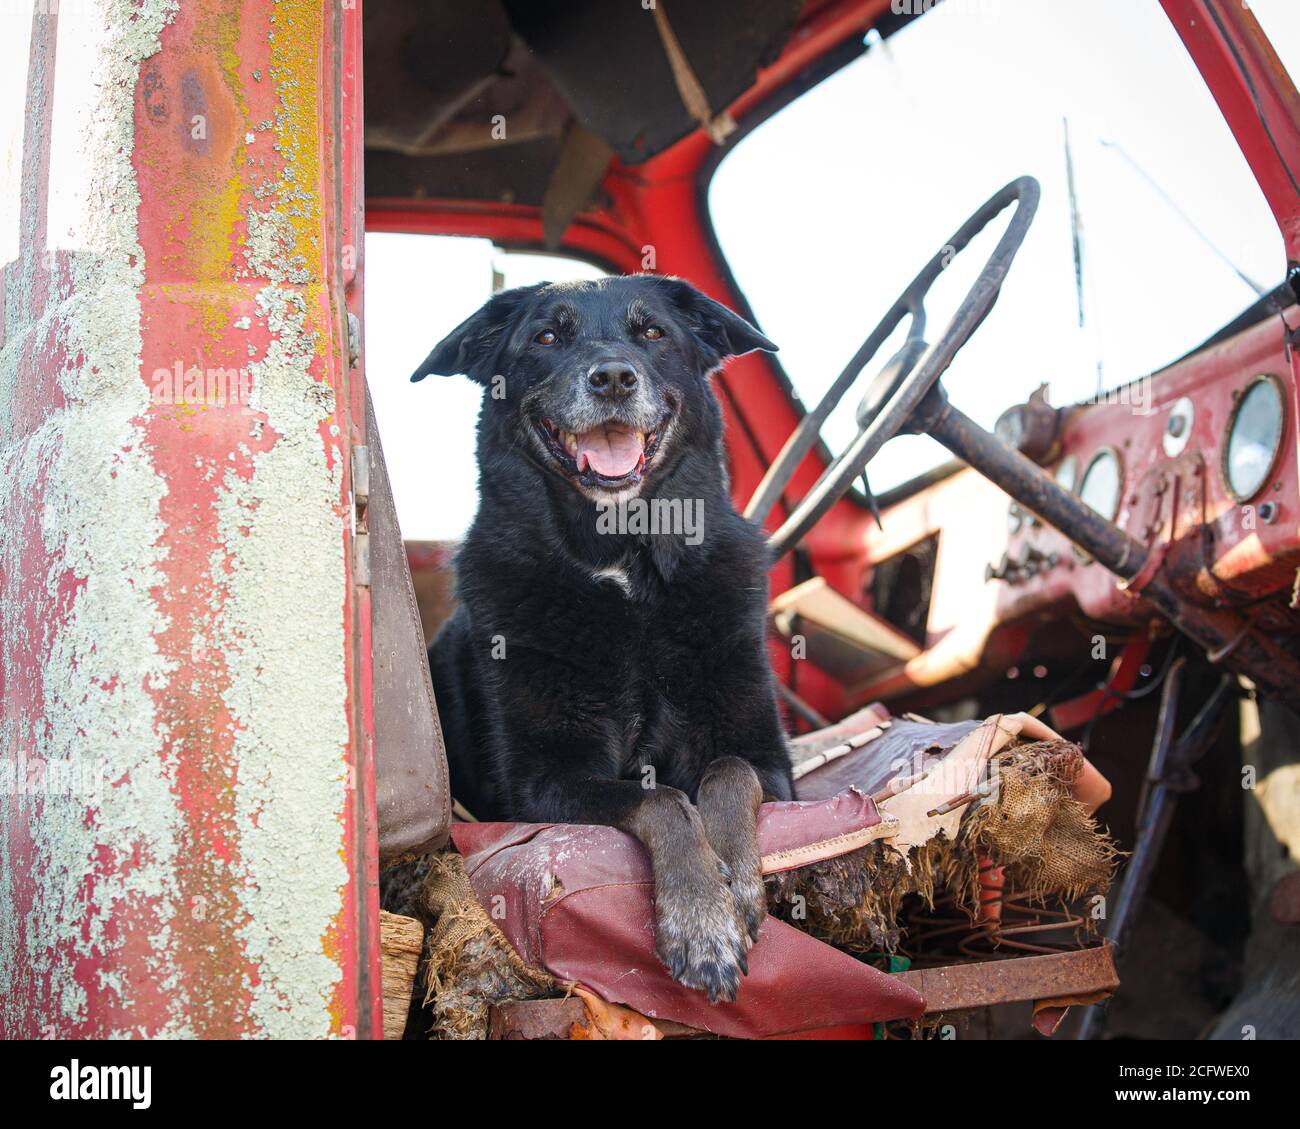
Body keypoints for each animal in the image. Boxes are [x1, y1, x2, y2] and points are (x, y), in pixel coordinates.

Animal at [413, 275, 790, 1004]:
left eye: (653, 333)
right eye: (546, 336)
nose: (613, 377)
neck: (622, 567)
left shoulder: (772, 763)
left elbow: (727, 774)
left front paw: (736, 885)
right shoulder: (550, 781)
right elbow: (662, 799)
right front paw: (702, 922)